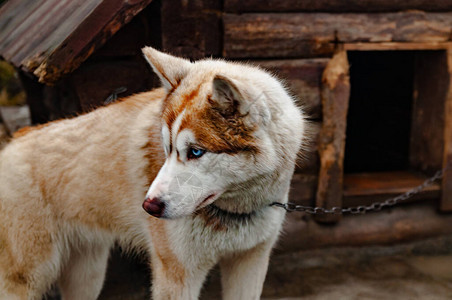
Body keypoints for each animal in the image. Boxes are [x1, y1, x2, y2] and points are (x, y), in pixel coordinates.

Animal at [0, 47, 306, 300]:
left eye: (195, 151)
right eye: (167, 148)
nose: (149, 207)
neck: (235, 212)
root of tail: (12, 144)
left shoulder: (251, 261)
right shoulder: (178, 275)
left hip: (87, 275)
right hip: (29, 278)